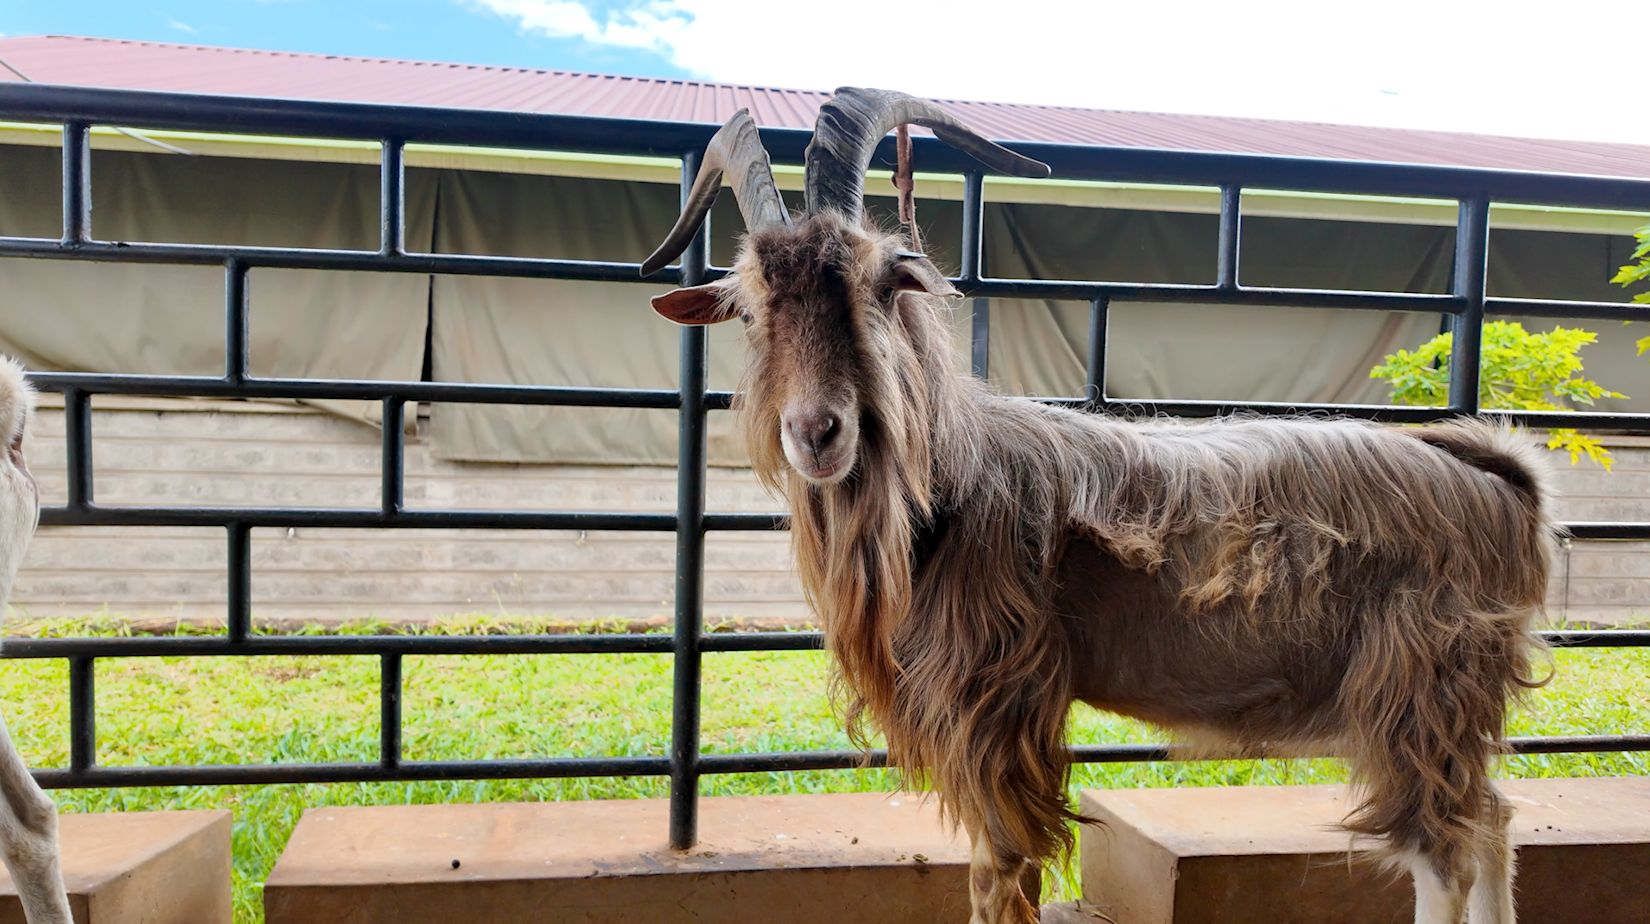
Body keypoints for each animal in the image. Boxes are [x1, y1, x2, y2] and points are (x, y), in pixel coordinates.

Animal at [642, 90, 1550, 924]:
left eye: (878, 285)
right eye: (750, 308)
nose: (817, 431)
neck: (956, 483)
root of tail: (1503, 485)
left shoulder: (1000, 705)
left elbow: (1001, 876)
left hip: (1419, 689)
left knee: (1444, 854)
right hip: (1452, 705)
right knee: (1493, 820)